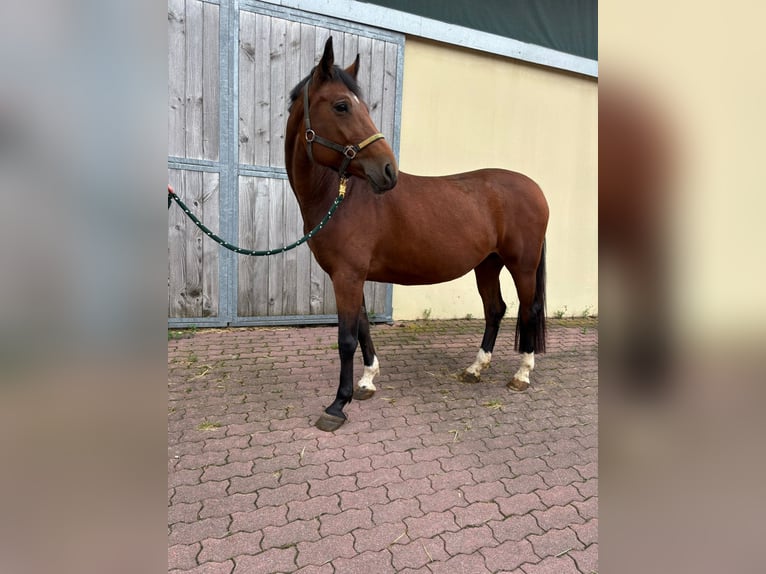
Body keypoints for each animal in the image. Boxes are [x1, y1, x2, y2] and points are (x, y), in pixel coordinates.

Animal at [285, 37, 549, 431]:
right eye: (342, 106)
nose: (387, 171)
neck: (338, 195)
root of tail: (534, 188)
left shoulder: (347, 276)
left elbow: (346, 338)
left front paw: (338, 405)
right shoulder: (349, 276)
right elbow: (362, 327)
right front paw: (367, 382)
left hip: (523, 265)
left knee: (528, 309)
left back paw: (522, 374)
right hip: (487, 264)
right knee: (495, 309)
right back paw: (475, 368)